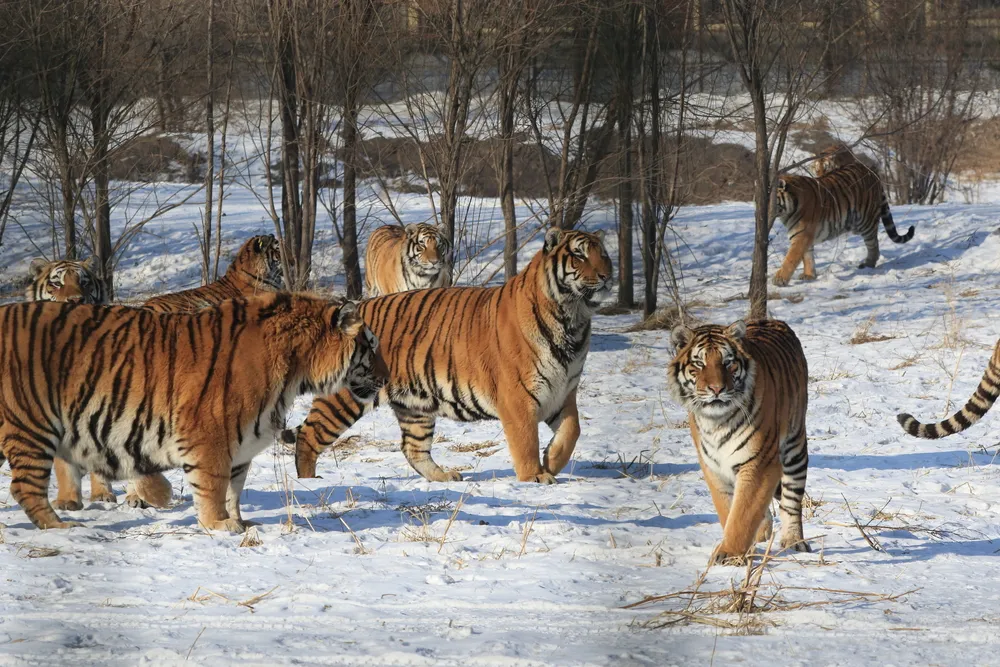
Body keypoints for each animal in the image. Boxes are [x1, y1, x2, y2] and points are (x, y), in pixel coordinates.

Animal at [0, 292, 384, 531]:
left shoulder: (242, 446)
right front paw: (219, 524)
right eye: (371, 345)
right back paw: (61, 527)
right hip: (31, 425)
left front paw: (240, 521)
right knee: (24, 486)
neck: (296, 371)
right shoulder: (210, 435)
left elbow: (234, 489)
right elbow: (212, 485)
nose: (386, 377)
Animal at [286, 227, 612, 484]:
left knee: (413, 448)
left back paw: (445, 476)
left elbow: (572, 431)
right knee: (308, 435)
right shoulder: (517, 398)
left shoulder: (563, 392)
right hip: (346, 398)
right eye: (580, 256)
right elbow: (526, 440)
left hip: (415, 406)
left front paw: (552, 462)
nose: (608, 276)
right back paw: (309, 482)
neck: (572, 319)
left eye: (604, 255)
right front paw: (535, 475)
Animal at [667, 319, 811, 565]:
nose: (716, 389)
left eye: (728, 362)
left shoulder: (760, 462)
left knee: (791, 501)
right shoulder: (713, 467)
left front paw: (729, 554)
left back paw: (794, 541)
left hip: (795, 447)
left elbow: (742, 514)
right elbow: (729, 511)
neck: (717, 422)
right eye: (699, 363)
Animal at [770, 163, 914, 286]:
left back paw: (868, 264)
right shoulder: (804, 236)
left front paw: (779, 279)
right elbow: (808, 257)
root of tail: (872, 173)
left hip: (866, 222)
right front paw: (809, 275)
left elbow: (790, 259)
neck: (788, 210)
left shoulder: (802, 235)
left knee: (874, 244)